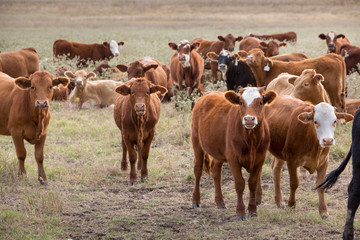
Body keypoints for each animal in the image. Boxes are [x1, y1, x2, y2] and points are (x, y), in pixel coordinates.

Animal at [191, 87, 278, 219]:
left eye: (260, 102)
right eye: (241, 102)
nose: (249, 119)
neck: (251, 140)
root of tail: (207, 94)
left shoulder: (260, 159)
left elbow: (252, 183)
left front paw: (252, 210)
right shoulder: (233, 159)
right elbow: (239, 184)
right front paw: (240, 212)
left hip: (218, 151)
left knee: (216, 172)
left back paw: (220, 202)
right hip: (196, 142)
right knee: (197, 169)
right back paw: (196, 200)